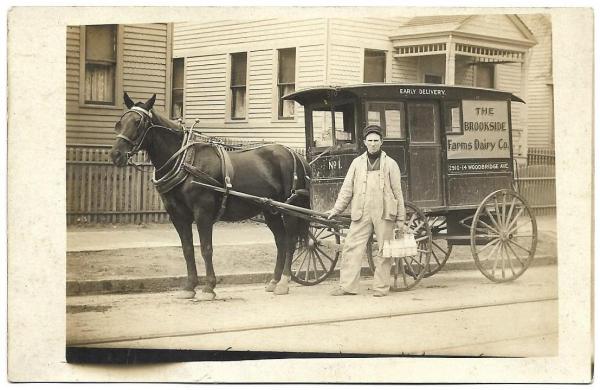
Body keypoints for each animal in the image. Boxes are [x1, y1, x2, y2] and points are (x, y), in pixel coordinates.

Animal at [109, 93, 312, 300]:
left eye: (138, 122)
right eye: (120, 122)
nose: (116, 154)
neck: (185, 161)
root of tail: (296, 155)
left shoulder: (203, 212)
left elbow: (206, 249)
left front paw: (208, 288)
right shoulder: (177, 215)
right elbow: (188, 249)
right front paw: (189, 287)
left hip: (289, 209)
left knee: (291, 241)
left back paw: (284, 282)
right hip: (271, 210)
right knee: (281, 241)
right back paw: (274, 281)